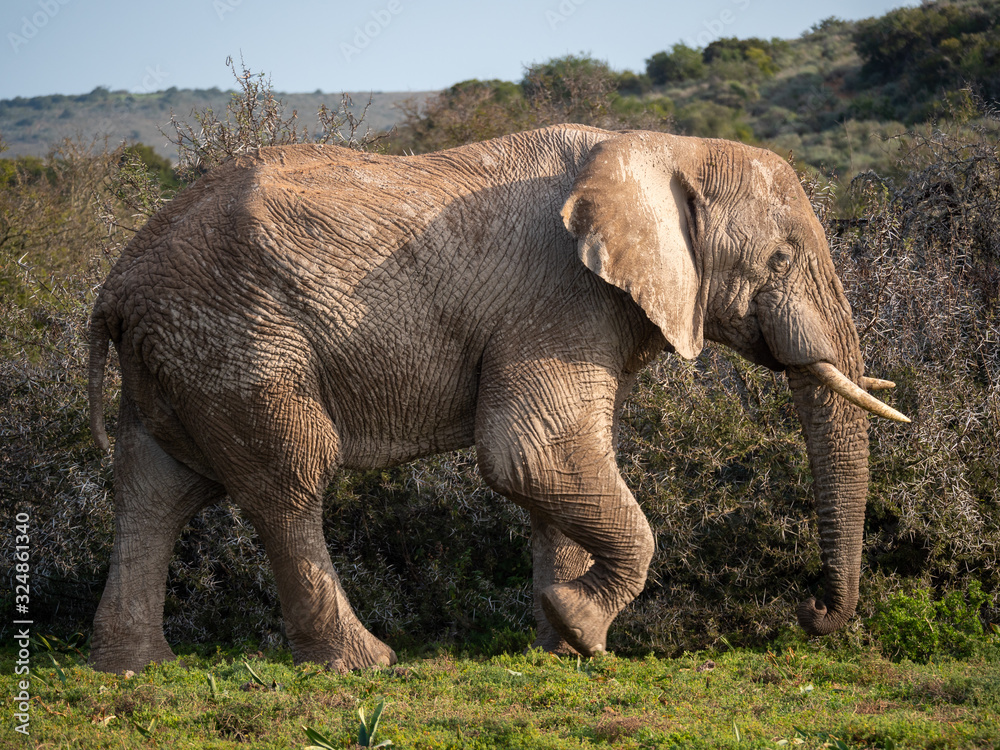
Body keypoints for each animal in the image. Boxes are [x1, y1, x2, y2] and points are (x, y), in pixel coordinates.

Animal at [90, 123, 912, 676]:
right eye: (780, 258)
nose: (813, 613)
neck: (662, 147)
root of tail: (115, 287)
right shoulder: (558, 298)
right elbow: (530, 455)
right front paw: (580, 626)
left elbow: (561, 472)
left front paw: (566, 643)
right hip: (241, 344)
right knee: (289, 483)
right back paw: (365, 664)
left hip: (180, 358)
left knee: (153, 491)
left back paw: (133, 667)